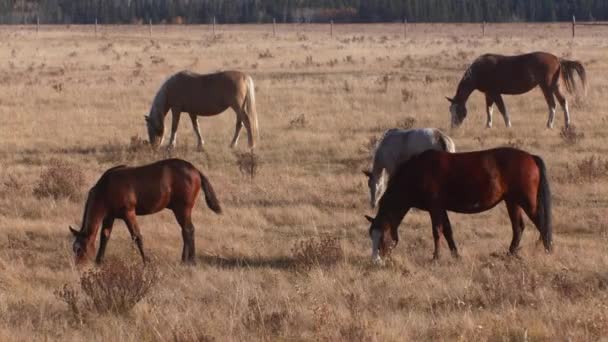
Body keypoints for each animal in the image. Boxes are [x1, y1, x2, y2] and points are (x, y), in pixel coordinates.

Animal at [69, 159, 221, 266]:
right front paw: (99, 261)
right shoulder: (109, 216)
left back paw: (191, 261)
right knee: (185, 231)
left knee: (188, 230)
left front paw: (146, 262)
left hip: (182, 209)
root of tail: (195, 170)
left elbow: (137, 236)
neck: (107, 187)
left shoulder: (129, 213)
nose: (78, 267)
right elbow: (104, 236)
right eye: (74, 249)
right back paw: (184, 259)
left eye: (80, 249)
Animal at [366, 146, 552, 262]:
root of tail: (531, 157)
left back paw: (547, 250)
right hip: (512, 201)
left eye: (382, 238)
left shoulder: (435, 208)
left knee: (541, 224)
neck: (417, 172)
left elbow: (437, 231)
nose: (376, 261)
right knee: (518, 227)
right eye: (371, 237)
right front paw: (455, 255)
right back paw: (510, 254)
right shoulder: (441, 209)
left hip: (526, 202)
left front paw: (436, 257)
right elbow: (448, 231)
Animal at [446, 51, 584, 129]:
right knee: (562, 102)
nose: (453, 127)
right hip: (555, 86)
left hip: (547, 87)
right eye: (450, 110)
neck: (479, 71)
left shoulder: (495, 93)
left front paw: (508, 125)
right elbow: (489, 110)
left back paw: (550, 125)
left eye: (457, 110)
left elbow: (502, 109)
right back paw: (566, 124)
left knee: (553, 104)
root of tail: (556, 58)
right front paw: (488, 125)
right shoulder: (488, 94)